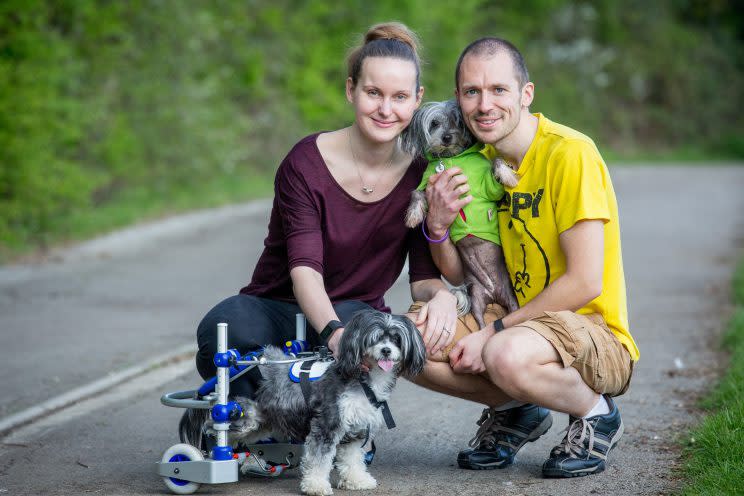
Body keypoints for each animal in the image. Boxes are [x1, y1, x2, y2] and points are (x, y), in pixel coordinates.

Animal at [179, 312, 424, 494]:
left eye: (396, 339)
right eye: (375, 338)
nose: (386, 350)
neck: (363, 381)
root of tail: (236, 364)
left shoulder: (354, 431)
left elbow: (352, 459)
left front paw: (357, 480)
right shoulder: (326, 425)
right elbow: (318, 460)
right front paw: (316, 486)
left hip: (261, 423)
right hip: (240, 415)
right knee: (213, 424)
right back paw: (202, 455)